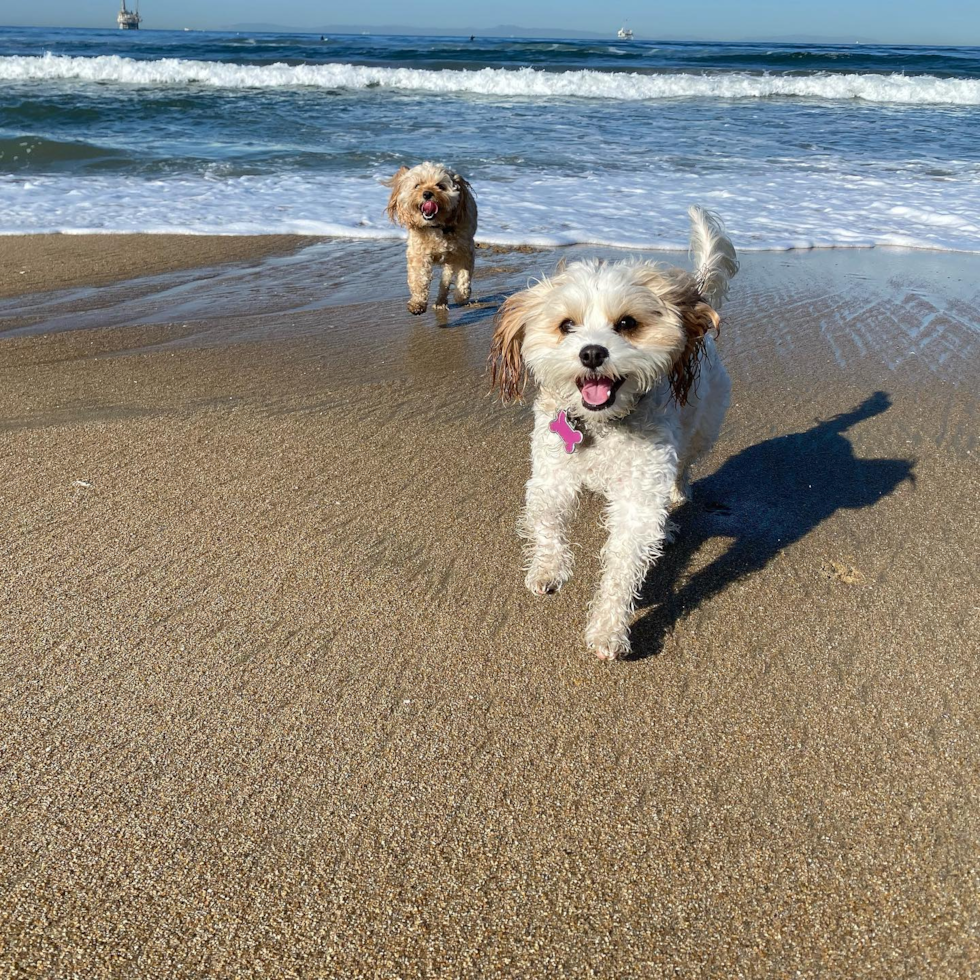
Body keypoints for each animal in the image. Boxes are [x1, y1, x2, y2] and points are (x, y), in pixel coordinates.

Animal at [490, 210, 736, 664]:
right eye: (566, 325)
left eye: (627, 324)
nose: (591, 352)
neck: (601, 426)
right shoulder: (551, 474)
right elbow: (545, 520)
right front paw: (548, 569)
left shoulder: (639, 495)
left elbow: (623, 564)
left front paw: (608, 629)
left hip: (702, 429)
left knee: (682, 470)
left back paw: (675, 505)